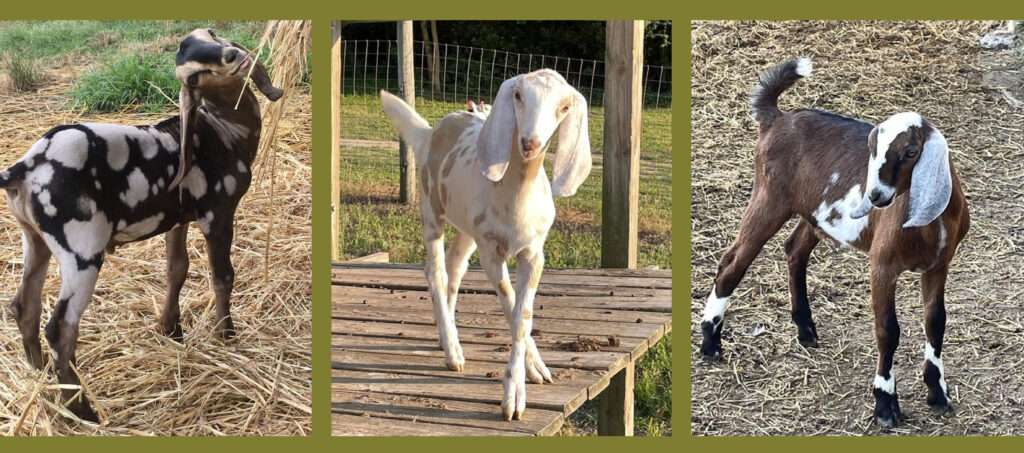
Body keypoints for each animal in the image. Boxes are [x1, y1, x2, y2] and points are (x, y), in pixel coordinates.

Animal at [3, 27, 284, 420]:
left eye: (210, 36)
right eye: (195, 78)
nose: (232, 56)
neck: (223, 129)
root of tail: (25, 168)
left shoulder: (178, 218)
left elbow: (176, 269)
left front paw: (170, 329)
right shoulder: (218, 212)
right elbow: (222, 275)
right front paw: (226, 335)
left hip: (34, 238)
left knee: (23, 306)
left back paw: (40, 373)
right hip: (81, 249)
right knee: (60, 328)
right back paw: (82, 410)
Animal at [380, 68, 593, 420]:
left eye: (564, 107)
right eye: (518, 95)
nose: (530, 143)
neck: (516, 198)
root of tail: (429, 132)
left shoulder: (534, 253)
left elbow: (523, 315)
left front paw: (535, 369)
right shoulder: (491, 253)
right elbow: (511, 308)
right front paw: (514, 396)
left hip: (468, 229)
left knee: (454, 267)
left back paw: (448, 338)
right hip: (431, 208)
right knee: (436, 272)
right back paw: (453, 351)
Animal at [700, 59, 970, 428]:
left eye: (911, 152)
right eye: (872, 149)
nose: (875, 196)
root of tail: (776, 118)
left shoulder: (939, 265)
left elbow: (936, 322)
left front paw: (938, 394)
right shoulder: (883, 265)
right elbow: (888, 329)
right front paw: (885, 405)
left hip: (812, 213)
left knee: (794, 250)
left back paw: (805, 329)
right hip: (769, 198)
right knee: (733, 261)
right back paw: (710, 343)